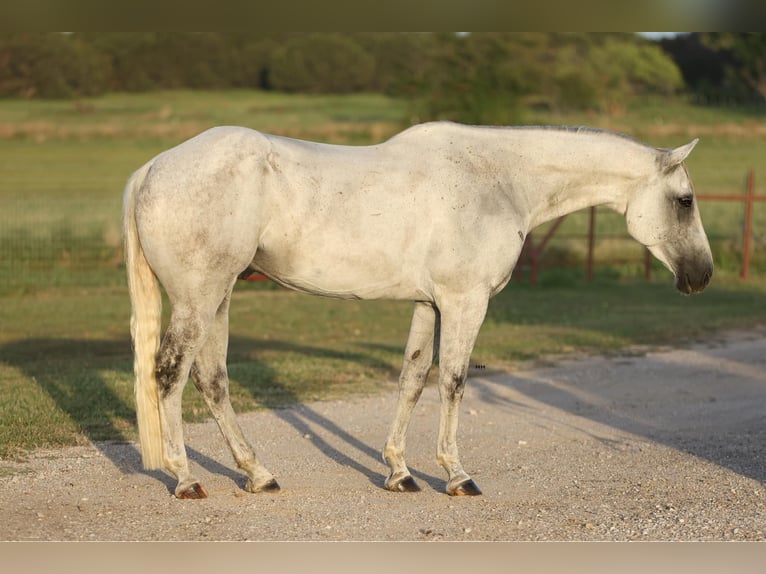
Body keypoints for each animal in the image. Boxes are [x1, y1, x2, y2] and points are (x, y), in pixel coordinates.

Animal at [123, 121, 713, 499]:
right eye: (685, 201)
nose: (702, 276)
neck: (498, 178)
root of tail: (151, 167)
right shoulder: (464, 300)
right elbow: (453, 380)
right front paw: (456, 476)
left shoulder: (429, 304)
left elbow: (412, 378)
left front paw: (400, 473)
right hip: (199, 299)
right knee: (169, 375)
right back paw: (185, 479)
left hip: (218, 298)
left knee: (212, 380)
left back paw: (258, 474)